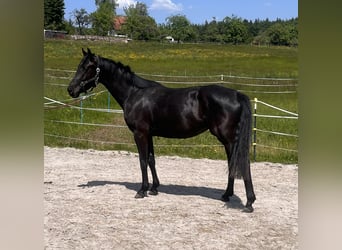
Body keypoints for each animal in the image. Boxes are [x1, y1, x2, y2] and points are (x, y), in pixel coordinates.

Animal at [67, 47, 255, 212]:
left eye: (87, 67)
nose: (71, 90)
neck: (134, 93)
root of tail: (237, 94)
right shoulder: (149, 134)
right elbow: (151, 160)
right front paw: (154, 188)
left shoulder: (140, 134)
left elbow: (142, 160)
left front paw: (142, 190)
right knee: (233, 163)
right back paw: (227, 195)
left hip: (229, 139)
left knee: (242, 163)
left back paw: (249, 202)